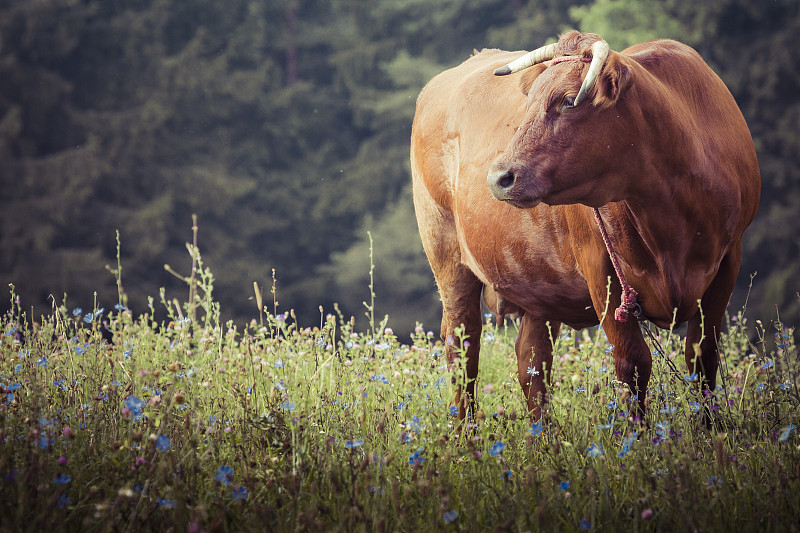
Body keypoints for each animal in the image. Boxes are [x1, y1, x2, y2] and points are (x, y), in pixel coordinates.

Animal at [416, 31, 760, 422]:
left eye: (568, 101)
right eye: (529, 103)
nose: (499, 177)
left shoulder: (727, 261)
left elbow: (702, 358)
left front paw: (709, 427)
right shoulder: (600, 267)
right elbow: (633, 363)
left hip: (537, 281)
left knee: (532, 360)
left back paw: (544, 435)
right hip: (447, 259)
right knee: (462, 348)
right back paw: (466, 433)